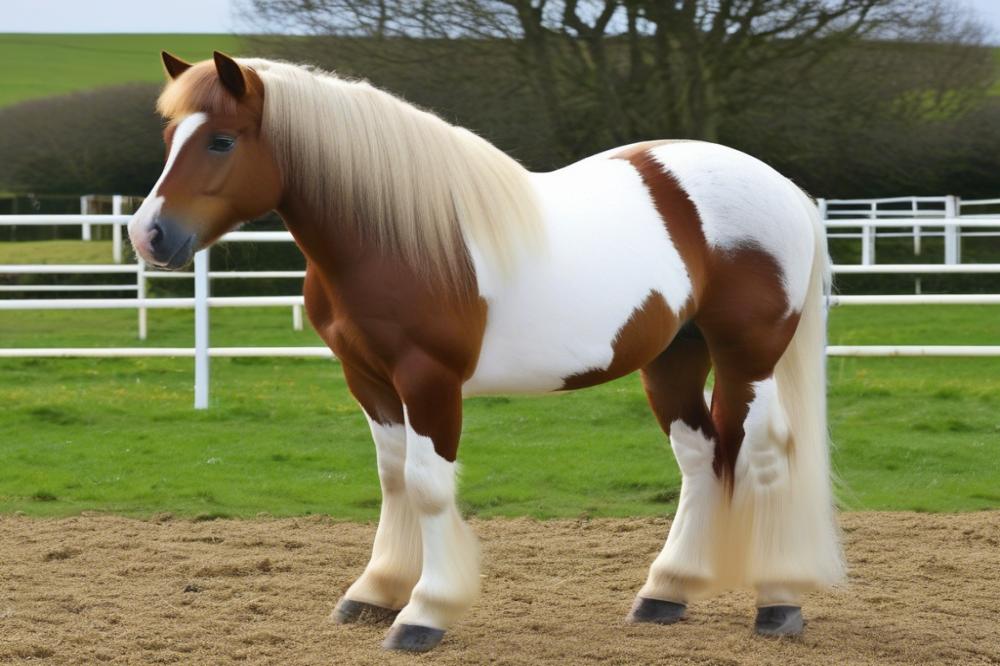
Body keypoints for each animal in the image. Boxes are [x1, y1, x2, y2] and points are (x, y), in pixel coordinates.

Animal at [125, 50, 844, 648]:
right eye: (169, 137)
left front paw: (423, 612)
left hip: (748, 356)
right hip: (673, 357)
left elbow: (428, 486)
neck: (394, 235)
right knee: (703, 457)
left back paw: (778, 603)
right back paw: (667, 591)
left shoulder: (429, 380)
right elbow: (393, 479)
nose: (148, 235)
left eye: (221, 140)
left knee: (763, 455)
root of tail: (780, 187)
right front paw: (375, 592)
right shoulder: (369, 380)